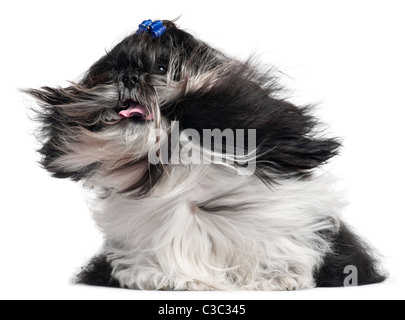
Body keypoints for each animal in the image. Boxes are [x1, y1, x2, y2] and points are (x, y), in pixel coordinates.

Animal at [25, 19, 386, 290]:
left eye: (161, 67)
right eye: (114, 68)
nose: (129, 77)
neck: (181, 166)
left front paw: (278, 276)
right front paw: (162, 277)